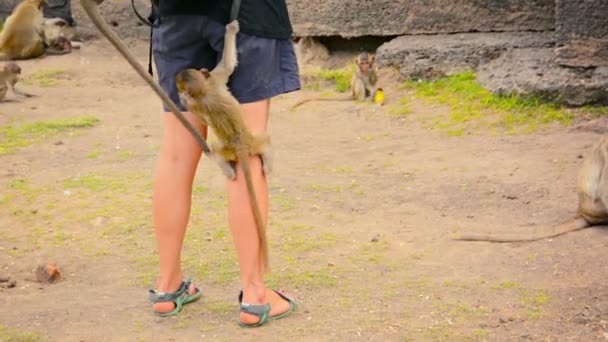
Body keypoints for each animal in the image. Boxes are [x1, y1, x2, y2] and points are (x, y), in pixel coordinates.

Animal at [175, 20, 272, 272]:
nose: (179, 93)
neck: (203, 90)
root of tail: (240, 146)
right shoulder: (213, 82)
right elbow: (227, 66)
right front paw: (231, 30)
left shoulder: (208, 86)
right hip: (249, 141)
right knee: (262, 141)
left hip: (237, 145)